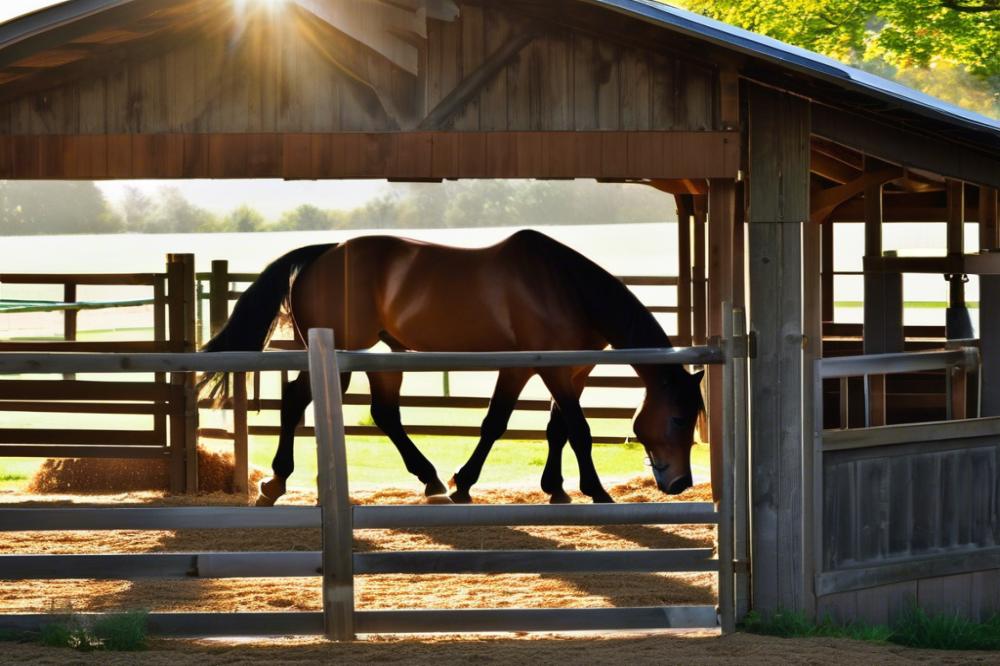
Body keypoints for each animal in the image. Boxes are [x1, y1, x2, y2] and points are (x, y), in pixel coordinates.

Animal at [201, 228, 704, 504]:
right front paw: (595, 490)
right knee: (294, 402)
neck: (567, 287)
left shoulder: (569, 373)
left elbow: (552, 428)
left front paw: (554, 486)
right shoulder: (542, 369)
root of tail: (323, 253)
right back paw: (275, 482)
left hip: (379, 358)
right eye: (680, 418)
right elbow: (559, 428)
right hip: (339, 358)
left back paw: (428, 479)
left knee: (384, 414)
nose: (680, 483)